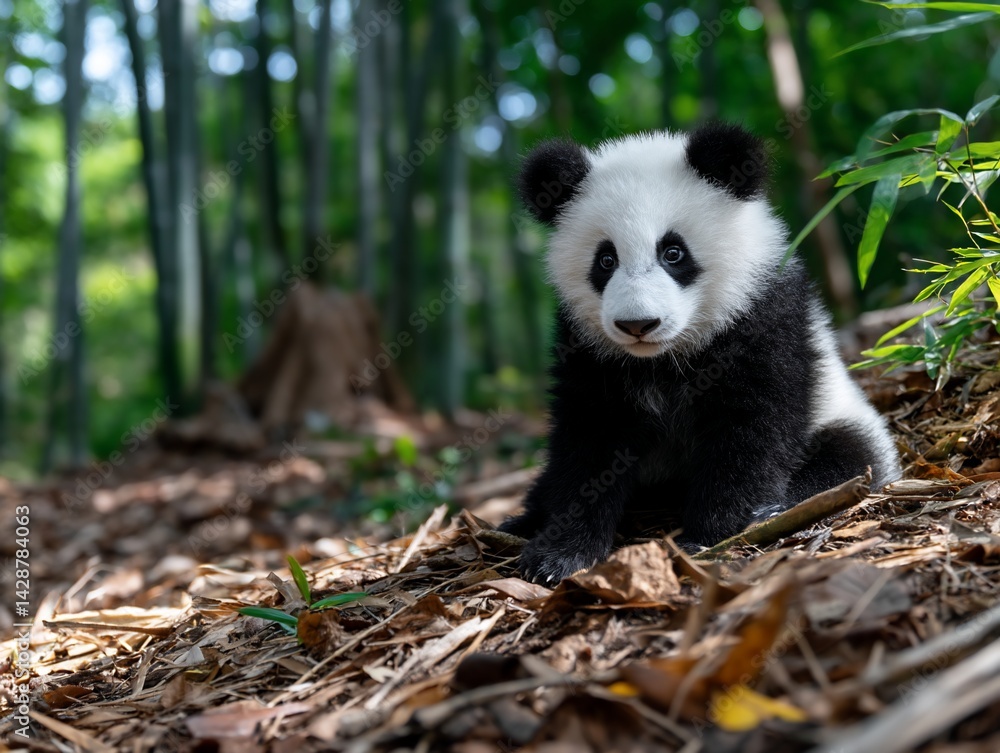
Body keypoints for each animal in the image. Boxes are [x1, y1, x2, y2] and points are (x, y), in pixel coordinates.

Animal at [500, 123, 901, 585]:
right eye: (605, 260)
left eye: (673, 252)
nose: (638, 324)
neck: (663, 357)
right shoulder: (588, 348)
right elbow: (590, 443)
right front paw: (558, 555)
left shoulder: (763, 318)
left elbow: (752, 431)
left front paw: (713, 537)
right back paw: (519, 522)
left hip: (842, 416)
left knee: (848, 457)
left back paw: (780, 506)